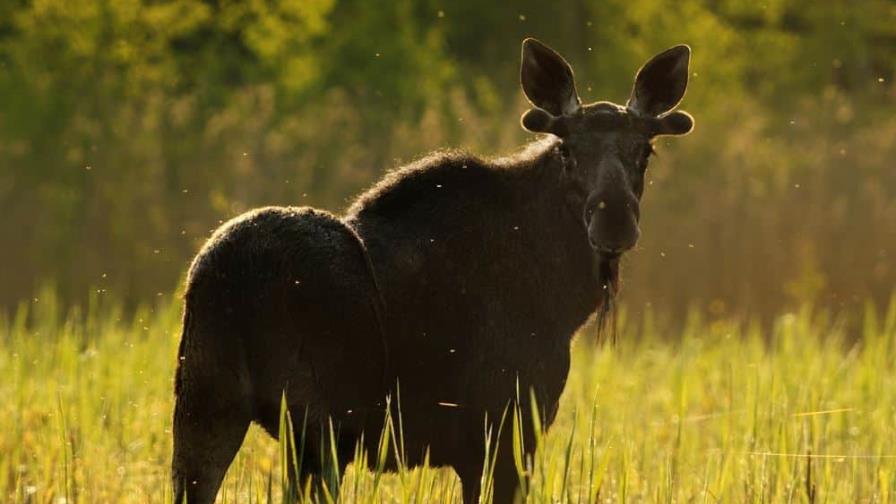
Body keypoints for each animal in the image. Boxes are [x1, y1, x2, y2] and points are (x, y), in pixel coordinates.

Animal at [173, 39, 692, 504]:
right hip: (320, 421)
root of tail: (225, 280)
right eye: (567, 150)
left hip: (204, 403)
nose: (614, 220)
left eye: (645, 151)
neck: (565, 300)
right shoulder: (509, 427)